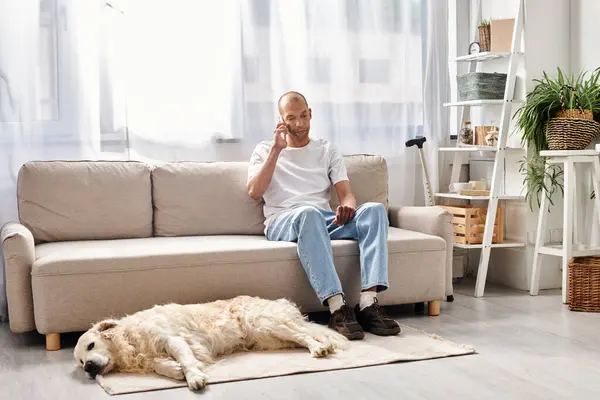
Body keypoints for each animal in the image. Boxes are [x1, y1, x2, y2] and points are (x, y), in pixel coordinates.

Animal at [75, 296, 346, 390]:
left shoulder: (173, 339)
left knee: (304, 335)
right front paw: (173, 370)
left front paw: (193, 377)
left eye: (91, 346)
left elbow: (186, 360)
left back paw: (319, 348)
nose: (89, 368)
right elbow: (159, 365)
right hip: (268, 339)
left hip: (265, 323)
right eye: (79, 362)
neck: (128, 339)